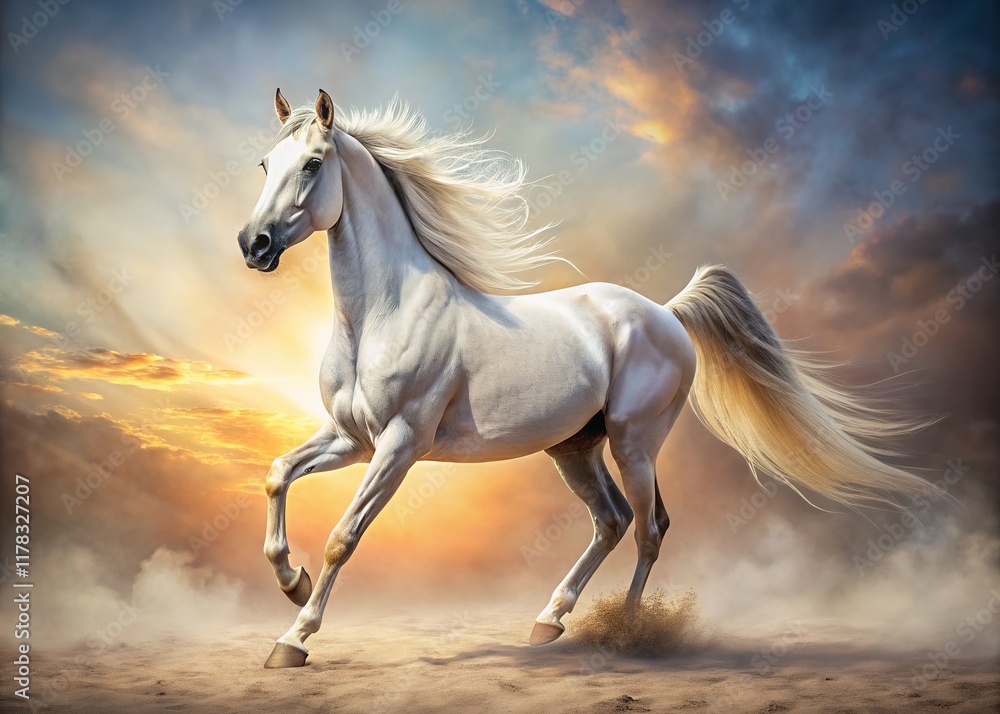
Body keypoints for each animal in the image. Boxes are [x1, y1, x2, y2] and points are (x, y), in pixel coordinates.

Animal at [236, 89, 934, 668]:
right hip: (574, 448)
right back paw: (549, 621)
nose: (254, 244)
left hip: (633, 443)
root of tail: (667, 312)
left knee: (649, 528)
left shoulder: (401, 445)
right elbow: (277, 474)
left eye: (313, 164)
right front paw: (290, 581)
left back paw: (626, 635)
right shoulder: (351, 438)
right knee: (613, 521)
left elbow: (342, 537)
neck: (383, 313)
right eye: (266, 164)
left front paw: (292, 640)